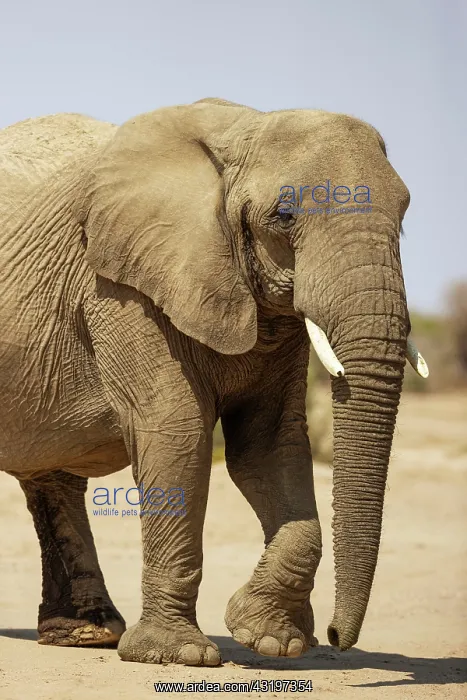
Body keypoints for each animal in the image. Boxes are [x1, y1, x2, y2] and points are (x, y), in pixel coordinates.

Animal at [0, 98, 428, 666]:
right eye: (283, 216)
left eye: (403, 213)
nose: (338, 637)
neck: (244, 128)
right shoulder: (120, 285)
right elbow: (177, 431)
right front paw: (179, 655)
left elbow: (270, 445)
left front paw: (272, 639)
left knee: (52, 477)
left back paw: (85, 634)